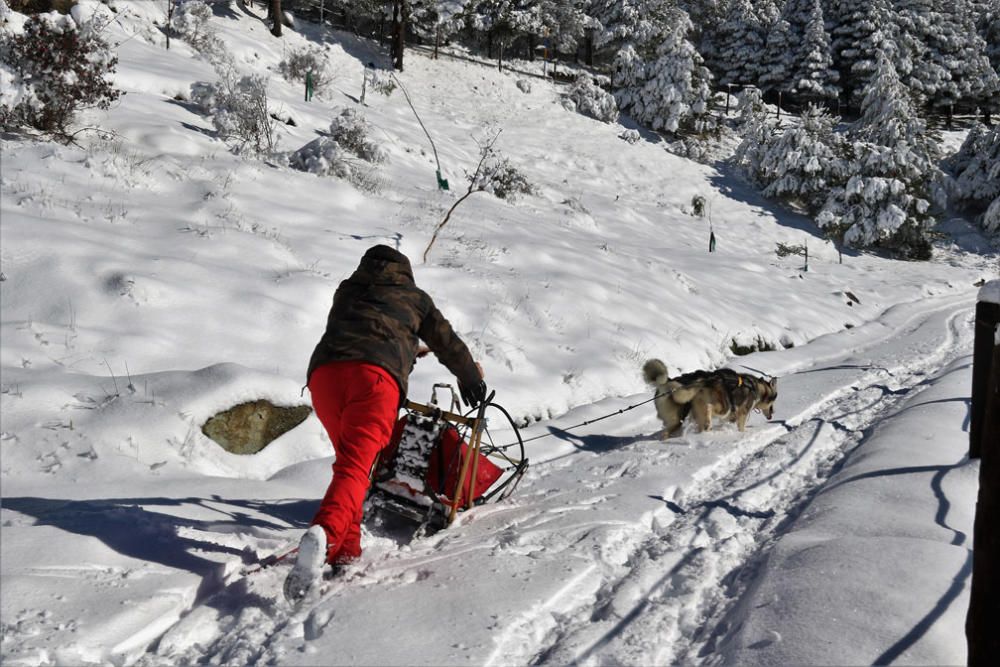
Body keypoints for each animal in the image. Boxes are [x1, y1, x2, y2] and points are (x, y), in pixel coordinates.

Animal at [644, 360, 776, 438]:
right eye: (772, 402)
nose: (773, 413)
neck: (756, 387)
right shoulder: (742, 412)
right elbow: (741, 426)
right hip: (723, 406)